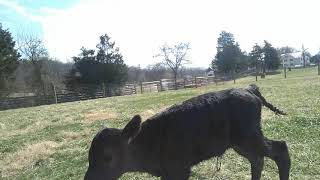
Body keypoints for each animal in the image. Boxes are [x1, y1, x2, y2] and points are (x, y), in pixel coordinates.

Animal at [84, 84, 290, 180]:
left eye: (108, 157)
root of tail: (249, 89)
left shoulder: (180, 169)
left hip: (249, 137)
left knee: (280, 149)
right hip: (240, 143)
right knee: (257, 160)